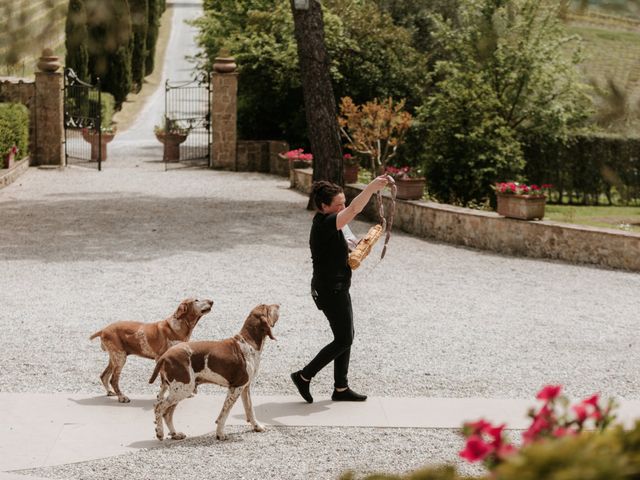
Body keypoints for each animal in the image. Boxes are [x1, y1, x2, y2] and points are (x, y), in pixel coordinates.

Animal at [151, 304, 282, 442]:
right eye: (268, 308)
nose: (278, 305)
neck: (248, 341)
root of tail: (165, 356)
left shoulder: (245, 387)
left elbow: (250, 409)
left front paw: (257, 426)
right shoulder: (236, 388)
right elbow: (224, 414)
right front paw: (220, 434)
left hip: (179, 390)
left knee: (167, 413)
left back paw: (175, 434)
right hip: (183, 389)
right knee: (159, 407)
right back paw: (160, 433)